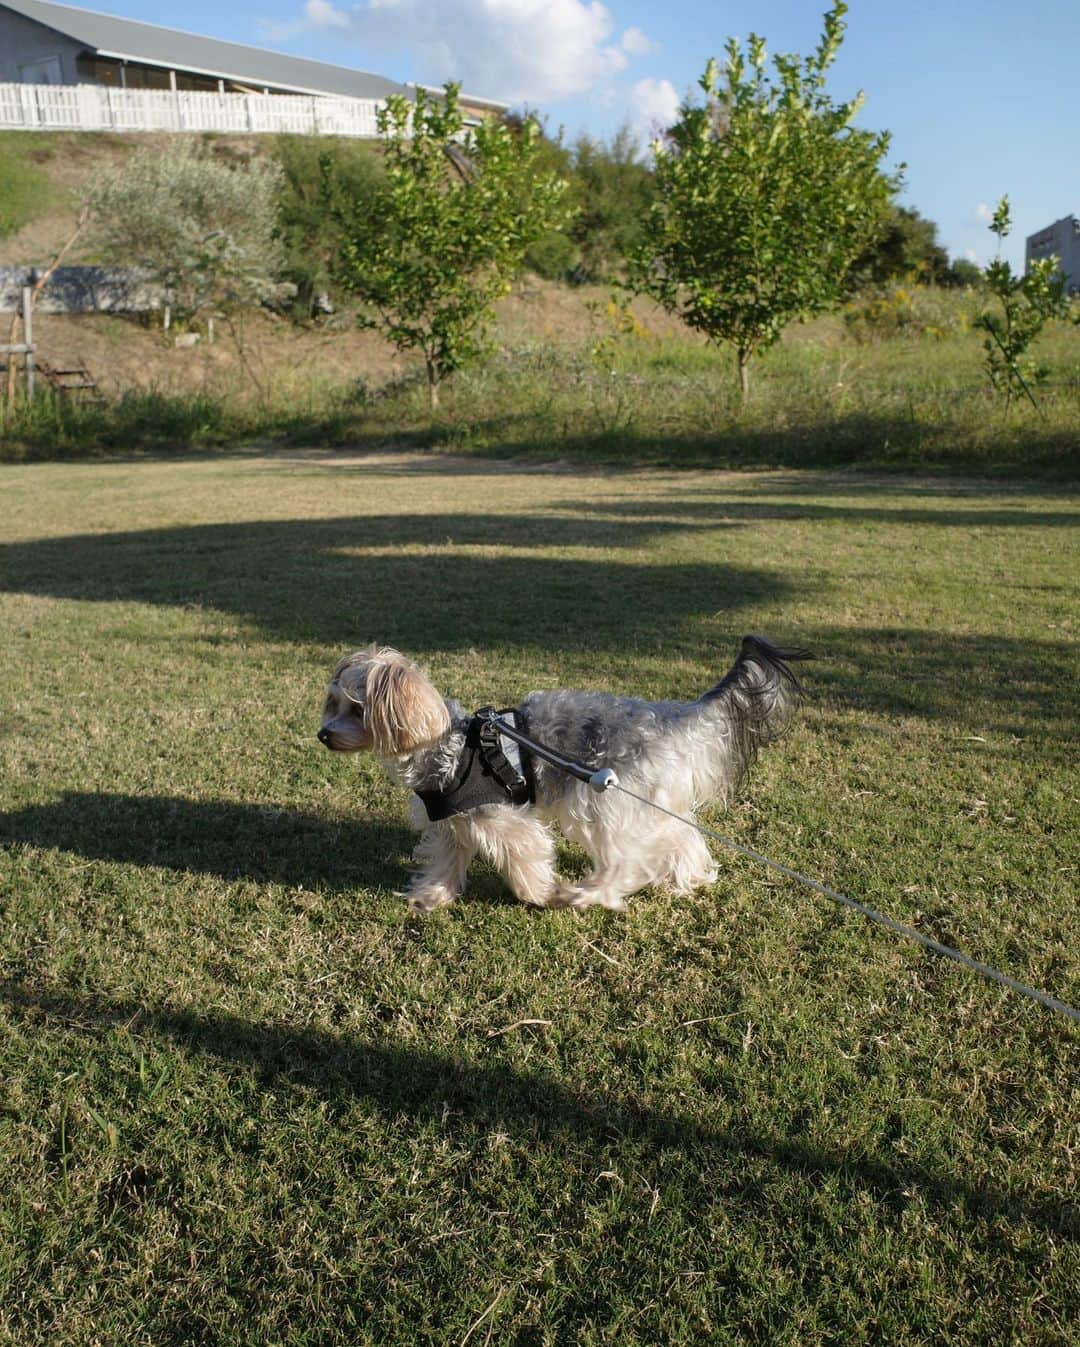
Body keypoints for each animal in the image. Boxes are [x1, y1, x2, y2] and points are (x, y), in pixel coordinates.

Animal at [320, 638, 807, 915]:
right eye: (333, 704)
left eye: (357, 710)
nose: (322, 734)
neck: (445, 744)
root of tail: (668, 716)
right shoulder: (454, 824)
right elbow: (445, 862)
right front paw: (431, 897)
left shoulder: (506, 821)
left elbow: (526, 860)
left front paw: (539, 895)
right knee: (681, 835)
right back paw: (688, 879)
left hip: (603, 801)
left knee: (629, 859)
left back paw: (586, 895)